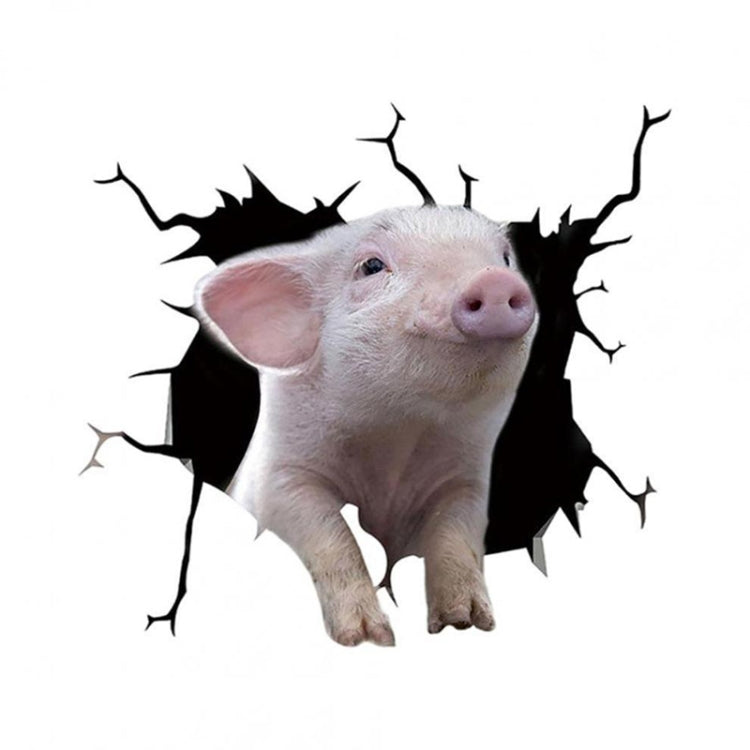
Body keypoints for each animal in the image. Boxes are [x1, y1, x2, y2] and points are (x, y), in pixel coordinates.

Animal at [194, 204, 538, 646]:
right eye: (371, 266)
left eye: (505, 258)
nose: (494, 278)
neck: (398, 440)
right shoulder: (278, 479)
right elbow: (333, 534)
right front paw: (369, 637)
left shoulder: (466, 484)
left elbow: (456, 538)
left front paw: (466, 621)